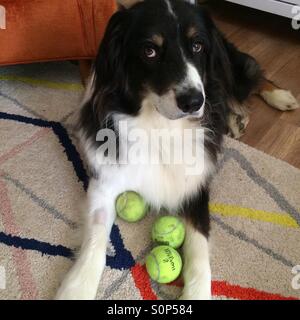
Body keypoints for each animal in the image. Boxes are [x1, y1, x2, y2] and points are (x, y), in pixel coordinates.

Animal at [55, 0, 298, 300]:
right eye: (149, 51)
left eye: (197, 46)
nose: (194, 101)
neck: (160, 126)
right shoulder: (105, 182)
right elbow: (95, 240)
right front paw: (77, 287)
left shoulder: (195, 187)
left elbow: (199, 252)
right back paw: (235, 118)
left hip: (228, 69)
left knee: (249, 76)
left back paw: (278, 97)